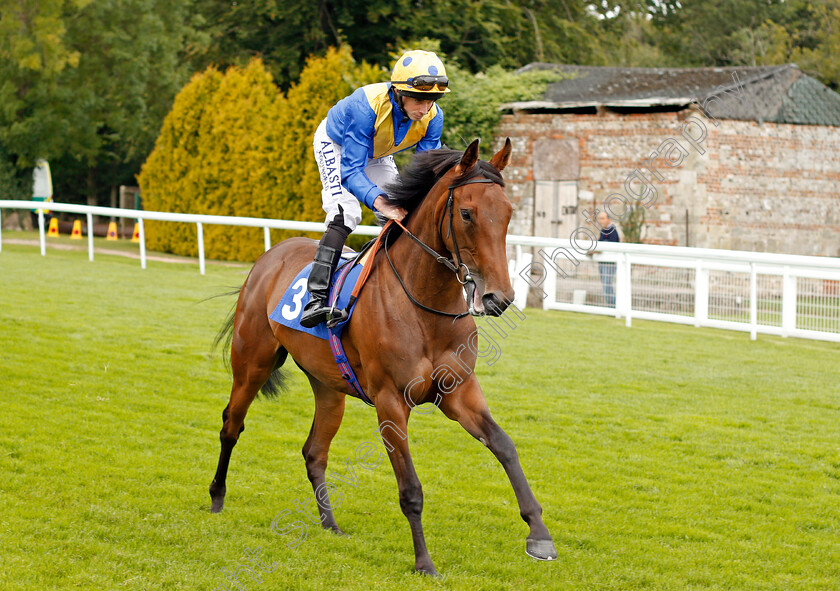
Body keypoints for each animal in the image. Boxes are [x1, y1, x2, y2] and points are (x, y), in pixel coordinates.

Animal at [209, 138, 556, 572]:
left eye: (508, 214)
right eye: (466, 213)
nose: (499, 298)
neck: (425, 306)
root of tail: (273, 254)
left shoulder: (459, 391)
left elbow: (505, 446)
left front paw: (539, 534)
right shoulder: (391, 402)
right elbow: (410, 488)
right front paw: (424, 562)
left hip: (328, 387)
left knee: (314, 452)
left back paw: (330, 524)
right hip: (252, 362)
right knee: (231, 424)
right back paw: (217, 497)